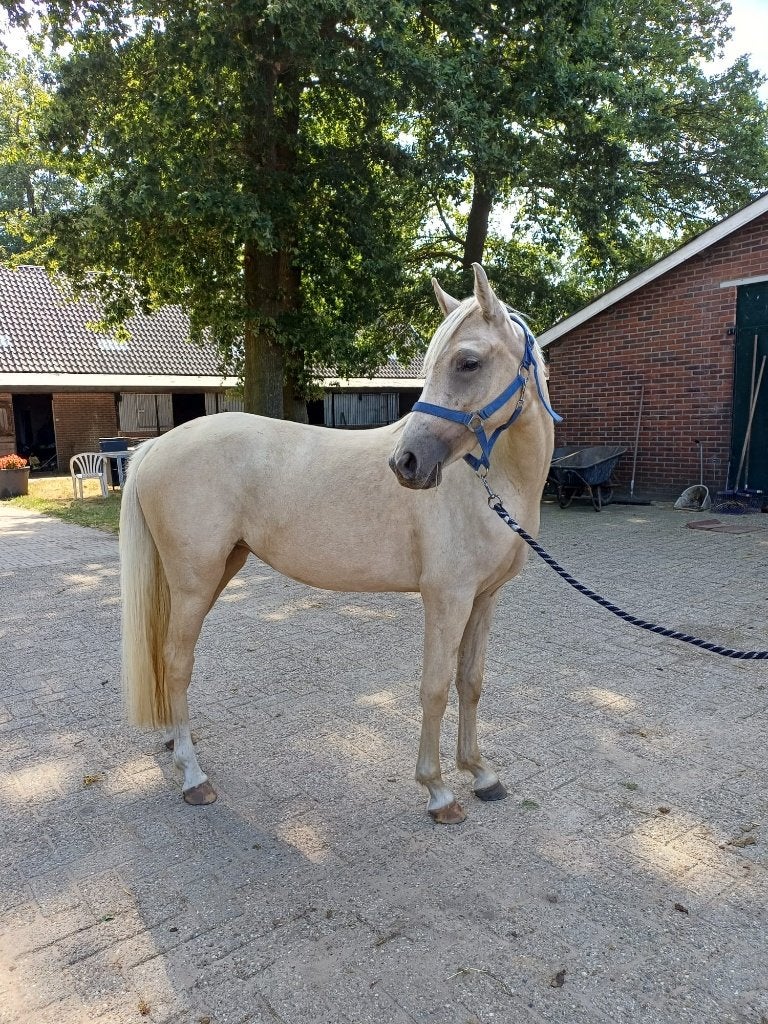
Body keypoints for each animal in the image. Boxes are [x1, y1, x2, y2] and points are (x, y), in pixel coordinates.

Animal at [120, 263, 557, 824]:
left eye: (468, 362)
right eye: (449, 361)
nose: (406, 463)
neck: (491, 484)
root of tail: (156, 445)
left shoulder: (484, 598)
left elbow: (470, 682)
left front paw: (481, 773)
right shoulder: (447, 598)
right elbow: (435, 688)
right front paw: (438, 791)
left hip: (216, 570)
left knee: (167, 658)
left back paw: (176, 745)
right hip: (195, 580)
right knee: (177, 661)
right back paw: (194, 776)